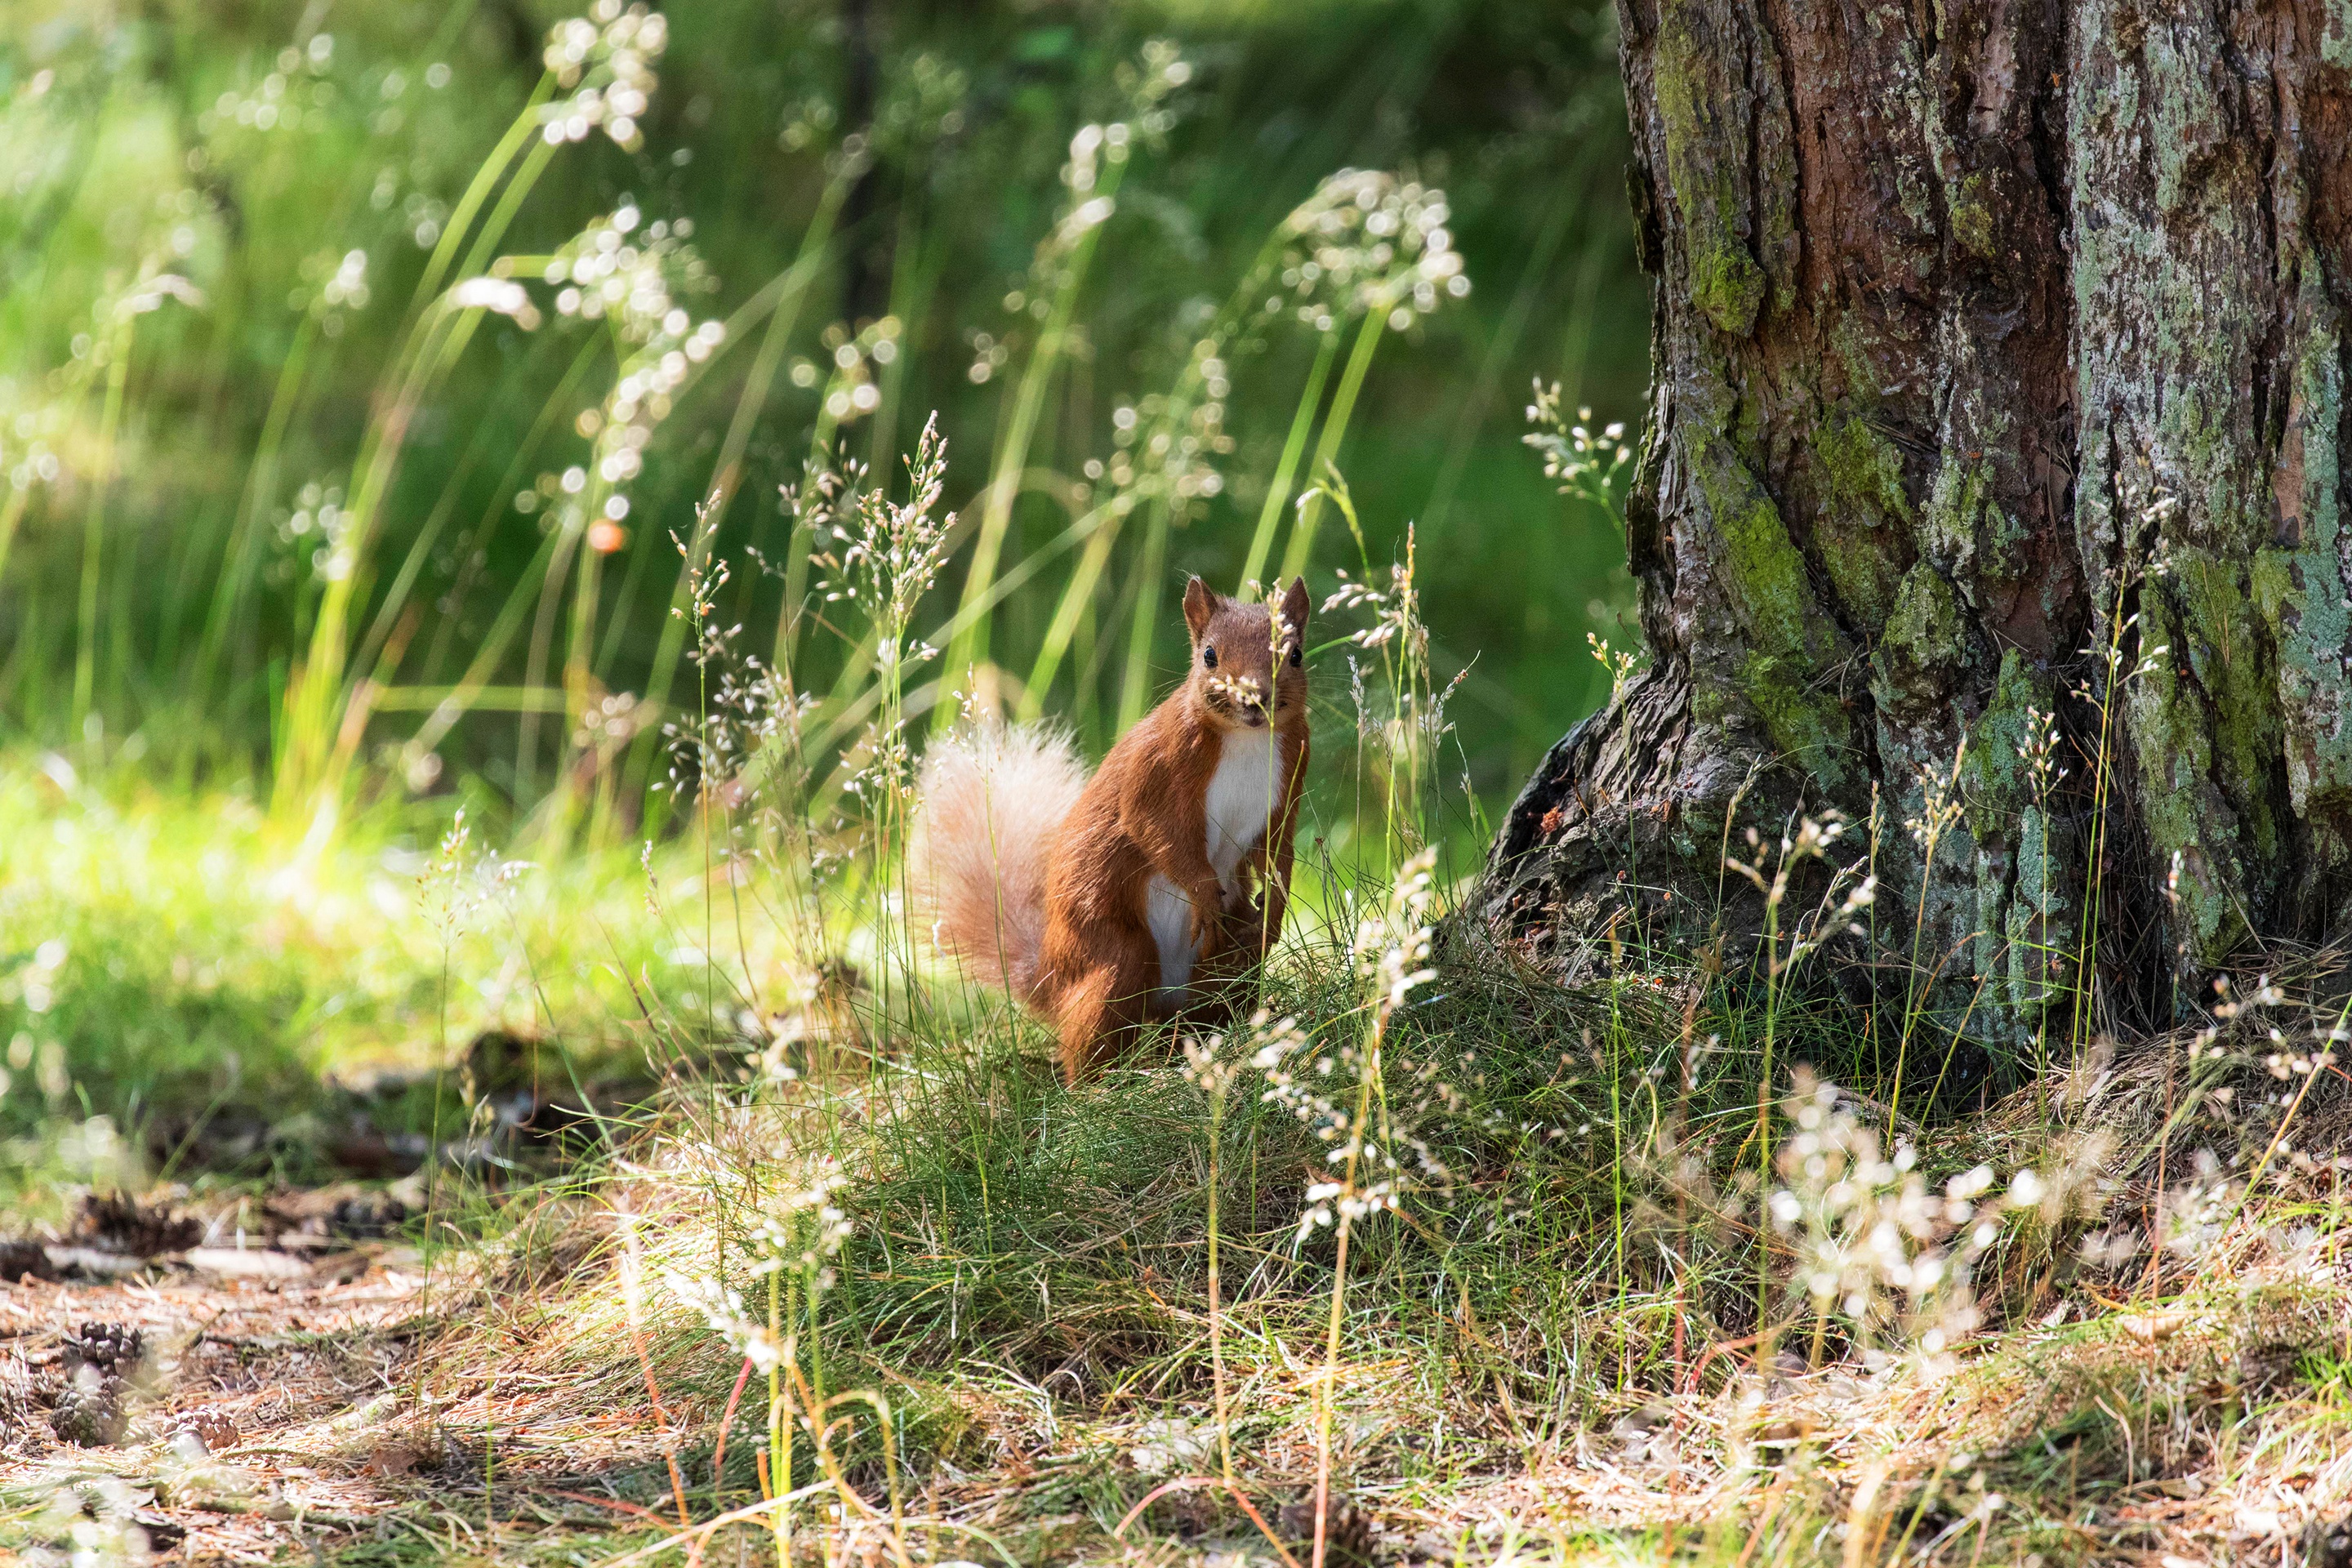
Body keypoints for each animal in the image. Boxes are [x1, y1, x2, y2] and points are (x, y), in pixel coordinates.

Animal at [912, 576, 1316, 1081]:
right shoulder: (1157, 765)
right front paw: (1204, 892)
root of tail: (1050, 973)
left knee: (1206, 1003)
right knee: (1092, 1036)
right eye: (1209, 654)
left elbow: (1279, 854)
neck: (1247, 739)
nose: (1254, 697)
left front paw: (1275, 914)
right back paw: (1103, 1085)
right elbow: (1154, 830)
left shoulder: (1290, 781)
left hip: (1222, 965)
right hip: (1115, 955)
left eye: (1295, 653)